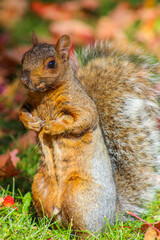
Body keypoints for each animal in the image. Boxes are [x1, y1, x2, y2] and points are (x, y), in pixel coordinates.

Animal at [19, 32, 160, 233]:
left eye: (51, 63)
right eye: (23, 57)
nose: (24, 79)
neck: (44, 94)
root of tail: (111, 215)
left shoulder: (82, 105)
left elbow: (82, 119)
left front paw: (53, 127)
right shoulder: (29, 102)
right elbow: (22, 112)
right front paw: (32, 123)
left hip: (79, 196)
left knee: (87, 229)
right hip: (40, 187)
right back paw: (46, 229)